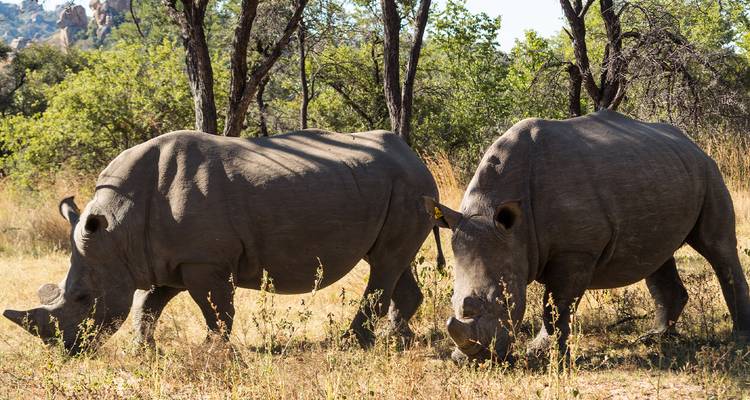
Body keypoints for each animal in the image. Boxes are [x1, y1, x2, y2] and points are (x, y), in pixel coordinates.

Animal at [4, 129, 443, 353]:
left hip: (409, 186)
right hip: (397, 188)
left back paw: (354, 343)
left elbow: (216, 310)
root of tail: (414, 156)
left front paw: (213, 352)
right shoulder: (167, 259)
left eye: (82, 298)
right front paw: (144, 352)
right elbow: (148, 303)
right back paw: (398, 338)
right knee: (389, 260)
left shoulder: (204, 261)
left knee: (384, 264)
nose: (66, 350)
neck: (118, 228)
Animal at [425, 110, 750, 363]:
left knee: (718, 248)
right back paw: (652, 338)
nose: (474, 359)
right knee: (657, 256)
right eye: (452, 298)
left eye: (503, 301)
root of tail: (690, 143)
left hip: (708, 171)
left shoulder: (576, 250)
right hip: (661, 171)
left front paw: (543, 355)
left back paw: (739, 338)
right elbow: (555, 305)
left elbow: (556, 306)